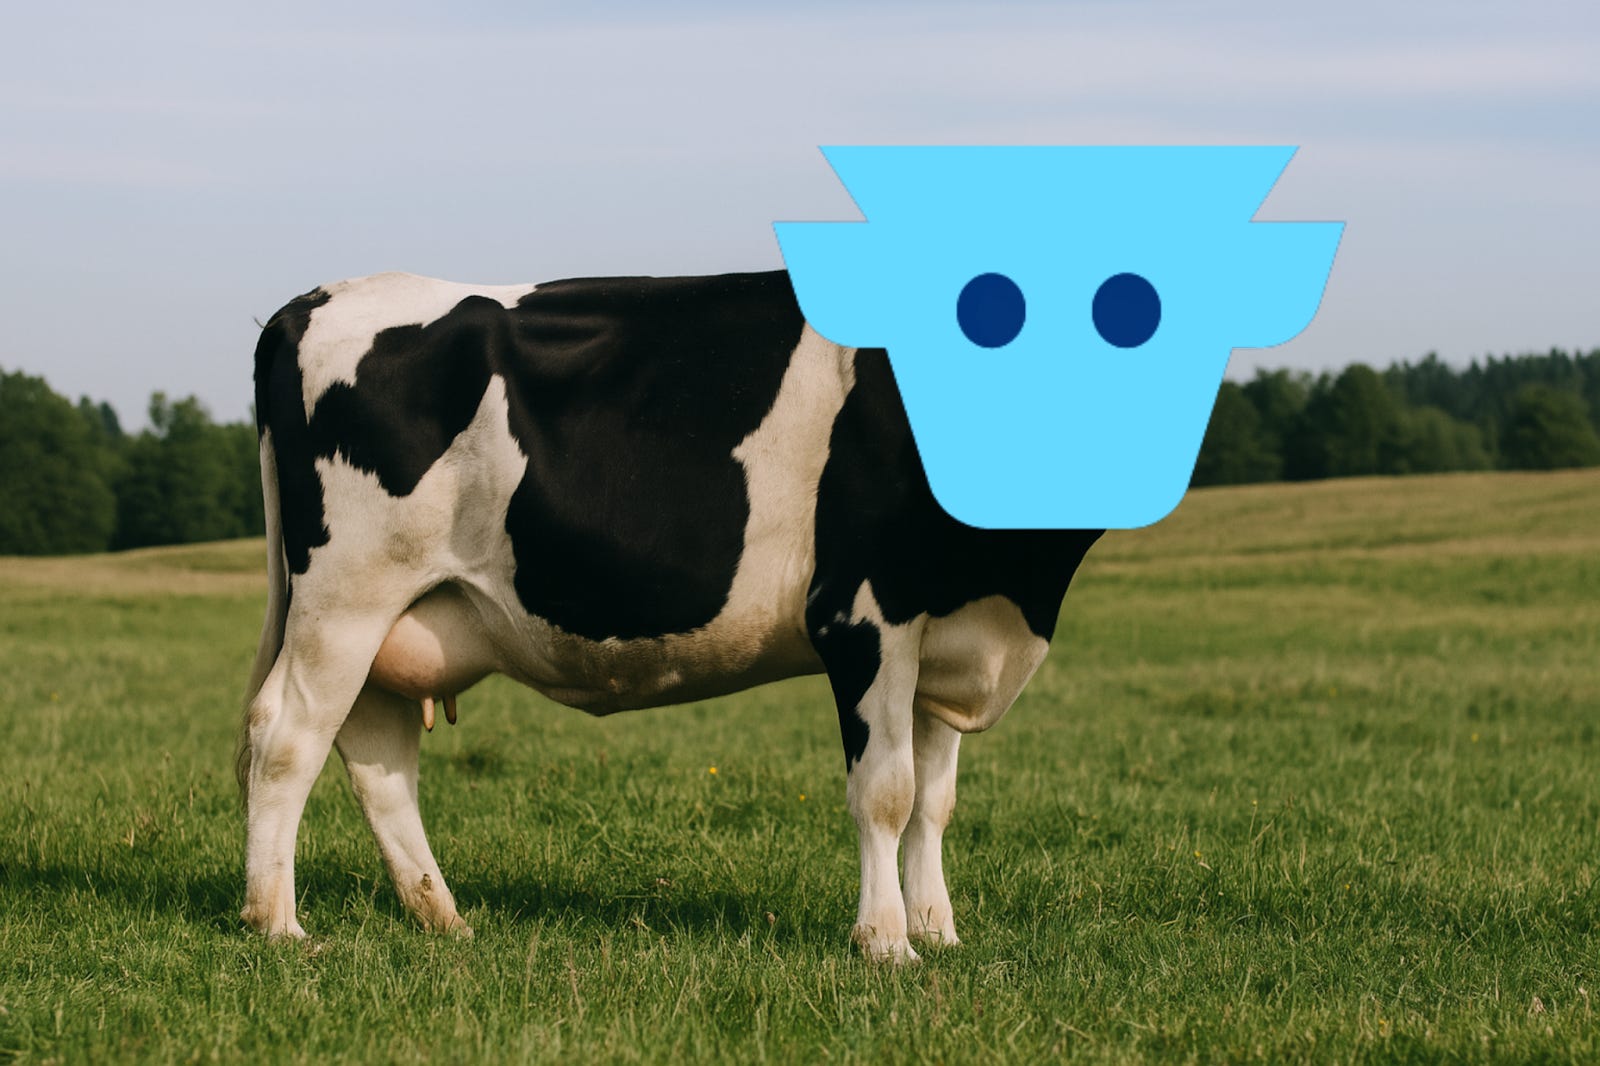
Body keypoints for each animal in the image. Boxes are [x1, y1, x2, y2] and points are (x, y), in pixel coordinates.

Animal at [238, 269, 1101, 962]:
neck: (1018, 591)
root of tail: (314, 299)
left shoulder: (943, 636)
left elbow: (934, 800)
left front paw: (937, 931)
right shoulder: (863, 614)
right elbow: (887, 791)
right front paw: (887, 944)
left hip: (398, 617)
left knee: (375, 755)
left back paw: (444, 918)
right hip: (345, 595)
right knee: (287, 738)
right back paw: (277, 924)